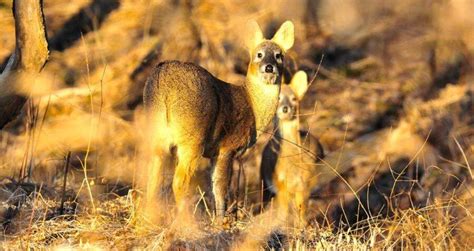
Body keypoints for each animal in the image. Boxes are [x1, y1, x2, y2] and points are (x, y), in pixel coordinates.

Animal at [143, 20, 294, 221]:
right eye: (259, 54)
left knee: (151, 179)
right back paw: (187, 223)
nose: (269, 67)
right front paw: (221, 221)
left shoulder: (214, 152)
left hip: (157, 133)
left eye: (279, 55)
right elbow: (221, 189)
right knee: (178, 182)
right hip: (192, 138)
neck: (252, 105)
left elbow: (214, 187)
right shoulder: (227, 147)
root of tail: (165, 81)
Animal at [260, 70, 326, 226]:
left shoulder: (303, 184)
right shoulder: (280, 184)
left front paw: (301, 227)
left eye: (294, 99)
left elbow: (301, 211)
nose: (285, 108)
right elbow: (283, 213)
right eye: (278, 98)